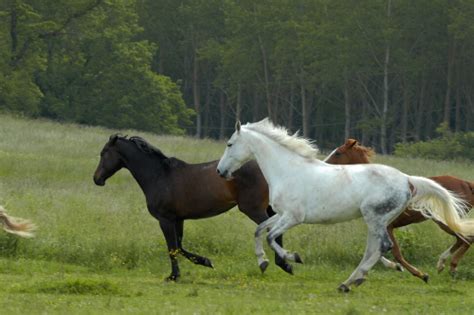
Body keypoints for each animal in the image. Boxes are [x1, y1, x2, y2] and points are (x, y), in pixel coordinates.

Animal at [92, 136, 292, 282]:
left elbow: (172, 248)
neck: (159, 176)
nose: (97, 179)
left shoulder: (165, 220)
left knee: (270, 230)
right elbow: (179, 247)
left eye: (103, 153)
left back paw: (276, 263)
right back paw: (284, 263)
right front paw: (206, 262)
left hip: (252, 209)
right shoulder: (178, 219)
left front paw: (173, 276)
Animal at [326, 139, 474, 282]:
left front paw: (420, 274)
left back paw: (451, 266)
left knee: (466, 239)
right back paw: (442, 264)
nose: (325, 164)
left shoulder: (388, 226)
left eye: (338, 153)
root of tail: (467, 184)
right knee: (462, 239)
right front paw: (395, 266)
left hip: (445, 221)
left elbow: (395, 252)